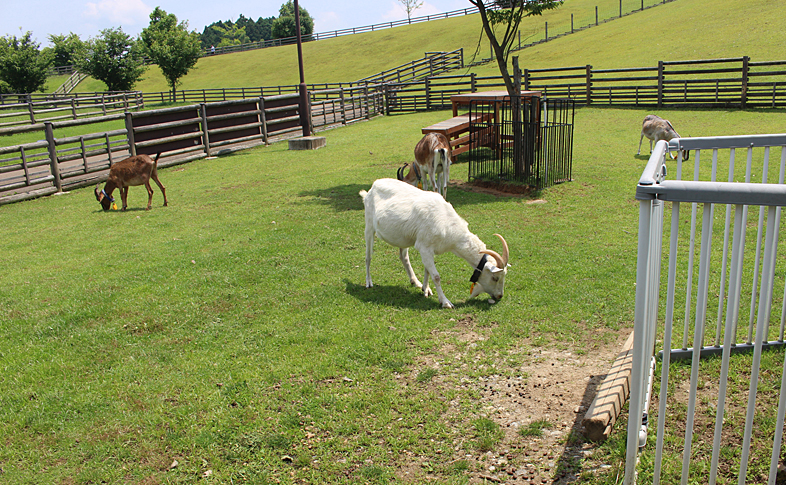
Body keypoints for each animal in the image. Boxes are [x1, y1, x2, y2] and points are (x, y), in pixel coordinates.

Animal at [356, 176, 508, 308]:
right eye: (495, 278)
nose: (499, 296)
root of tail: (371, 188)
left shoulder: (430, 248)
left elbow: (427, 270)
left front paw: (426, 289)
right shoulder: (424, 246)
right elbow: (436, 276)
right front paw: (445, 302)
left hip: (403, 237)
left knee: (403, 257)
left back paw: (415, 282)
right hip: (368, 225)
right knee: (368, 256)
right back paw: (369, 282)